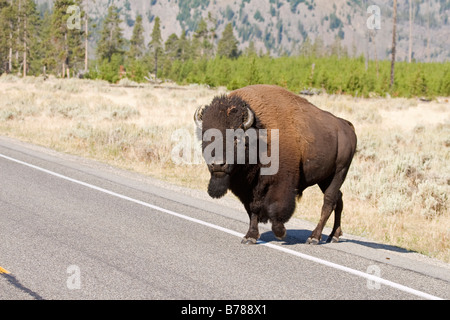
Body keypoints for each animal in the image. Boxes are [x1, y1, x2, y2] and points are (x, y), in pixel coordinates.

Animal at [195, 85, 356, 245]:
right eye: (206, 137)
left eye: (237, 138)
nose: (218, 165)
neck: (260, 134)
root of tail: (347, 127)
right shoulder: (249, 188)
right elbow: (253, 209)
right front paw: (250, 236)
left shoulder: (282, 183)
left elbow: (275, 208)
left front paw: (280, 233)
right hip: (325, 179)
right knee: (338, 199)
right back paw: (334, 235)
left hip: (339, 172)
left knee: (328, 202)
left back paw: (314, 237)